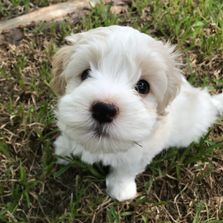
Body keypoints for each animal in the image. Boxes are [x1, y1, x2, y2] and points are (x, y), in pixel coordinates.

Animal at [50, 25, 223, 201]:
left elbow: (126, 171)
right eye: (85, 74)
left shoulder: (139, 155)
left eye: (142, 86)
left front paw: (121, 189)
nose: (104, 110)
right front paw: (64, 149)